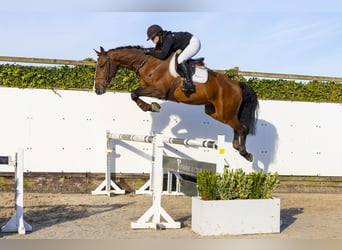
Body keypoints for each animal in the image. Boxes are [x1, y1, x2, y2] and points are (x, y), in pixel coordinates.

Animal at [93, 45, 260, 161]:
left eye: (101, 65)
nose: (97, 90)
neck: (148, 63)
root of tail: (236, 84)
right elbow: (134, 94)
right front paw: (151, 107)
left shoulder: (159, 91)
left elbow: (134, 93)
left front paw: (151, 106)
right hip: (215, 112)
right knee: (237, 127)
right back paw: (238, 147)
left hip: (225, 113)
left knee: (243, 128)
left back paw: (245, 153)